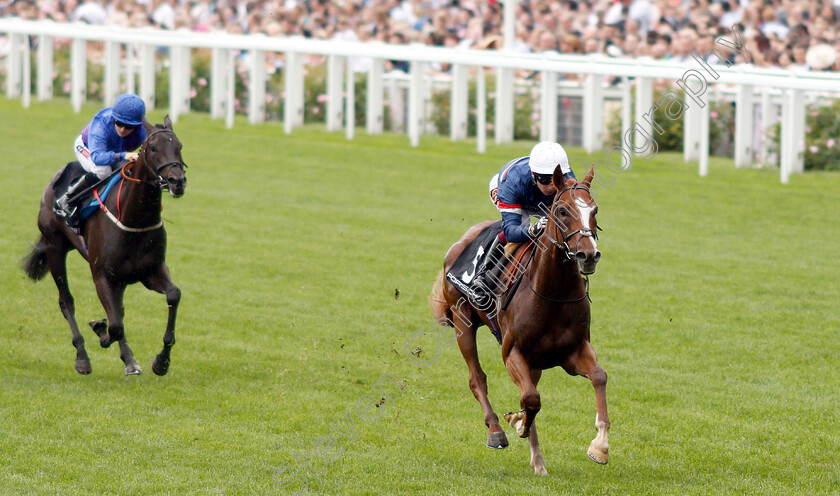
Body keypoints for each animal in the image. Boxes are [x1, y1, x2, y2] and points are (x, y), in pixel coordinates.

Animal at [21, 117, 189, 376]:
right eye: (153, 148)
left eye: (178, 146)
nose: (177, 181)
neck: (134, 218)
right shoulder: (102, 276)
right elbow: (115, 325)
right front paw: (100, 329)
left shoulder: (150, 271)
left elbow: (173, 294)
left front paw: (161, 362)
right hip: (54, 247)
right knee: (66, 302)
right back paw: (82, 357)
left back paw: (129, 361)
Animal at [434, 166, 612, 472]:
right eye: (562, 211)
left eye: (595, 209)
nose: (588, 255)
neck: (552, 293)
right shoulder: (512, 352)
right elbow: (530, 398)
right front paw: (517, 424)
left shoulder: (574, 352)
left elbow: (599, 376)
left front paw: (599, 446)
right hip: (461, 320)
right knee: (477, 379)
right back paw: (496, 431)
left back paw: (537, 460)